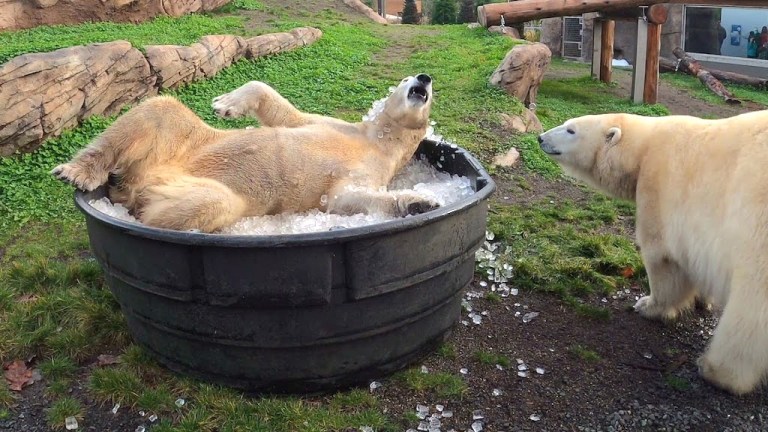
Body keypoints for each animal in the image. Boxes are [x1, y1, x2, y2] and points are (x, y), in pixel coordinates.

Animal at [51, 74, 438, 233]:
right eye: (405, 79)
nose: (424, 77)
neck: (378, 139)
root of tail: (138, 182)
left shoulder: (374, 170)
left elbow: (346, 198)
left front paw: (421, 202)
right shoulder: (330, 124)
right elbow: (286, 115)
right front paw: (225, 104)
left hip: (191, 184)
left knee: (210, 202)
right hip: (187, 144)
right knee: (159, 112)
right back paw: (77, 171)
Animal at [536, 110, 768, 394]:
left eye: (571, 130)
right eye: (567, 124)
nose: (541, 138)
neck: (643, 147)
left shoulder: (658, 186)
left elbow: (663, 258)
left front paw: (648, 305)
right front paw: (703, 299)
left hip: (755, 226)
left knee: (751, 306)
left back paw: (717, 370)